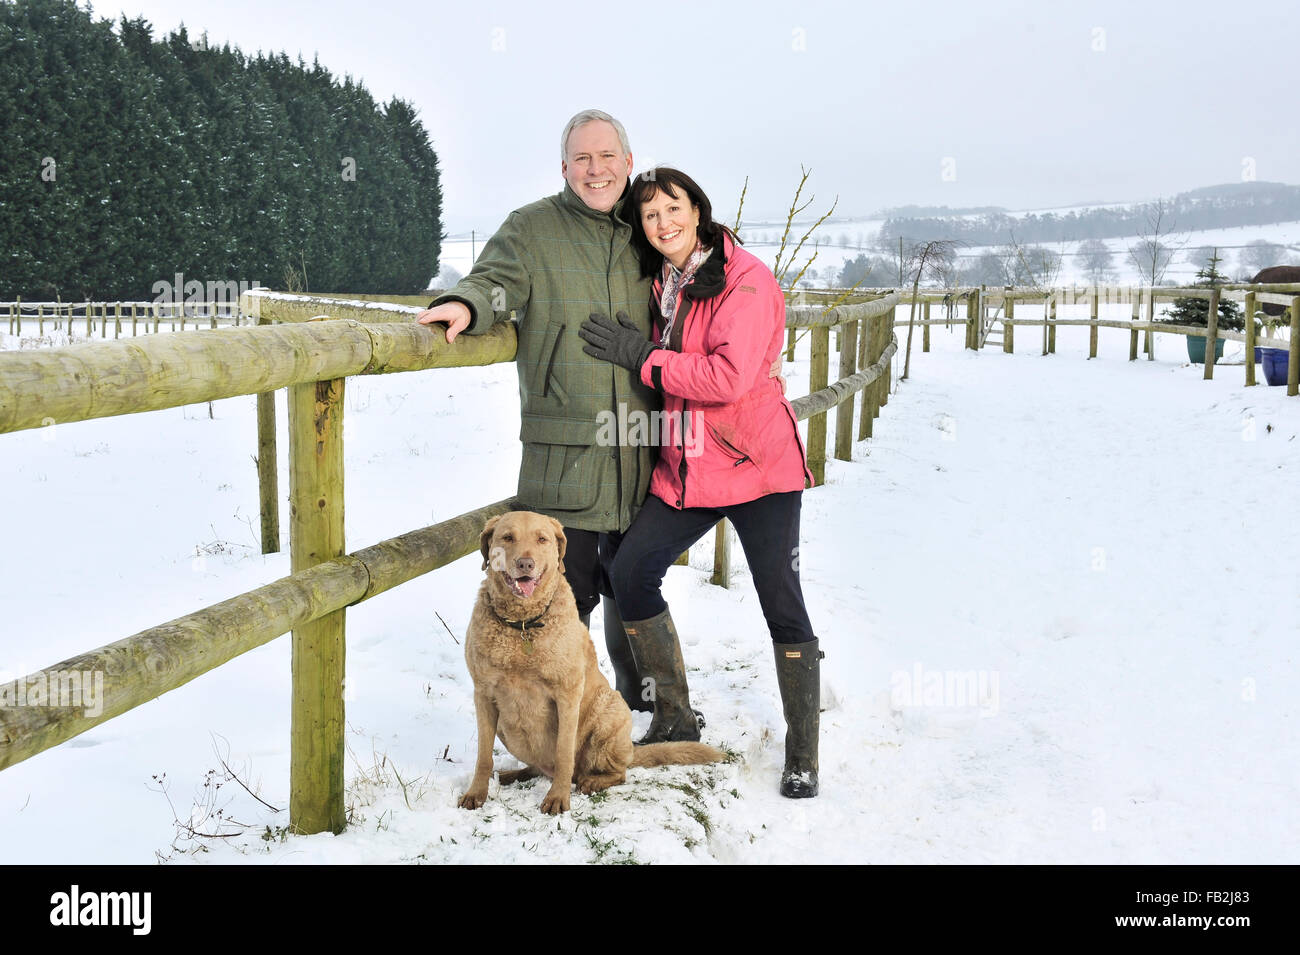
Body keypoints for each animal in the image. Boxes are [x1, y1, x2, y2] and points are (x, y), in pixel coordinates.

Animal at [457, 509, 722, 815]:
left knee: (613, 773)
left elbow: (563, 752)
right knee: (537, 768)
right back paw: (513, 774)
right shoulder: (484, 694)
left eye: (542, 539)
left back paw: (591, 781)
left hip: (610, 711)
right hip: (506, 726)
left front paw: (558, 798)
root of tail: (631, 749)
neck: (523, 624)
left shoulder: (567, 695)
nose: (525, 563)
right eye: (507, 537)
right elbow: (483, 755)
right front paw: (476, 793)